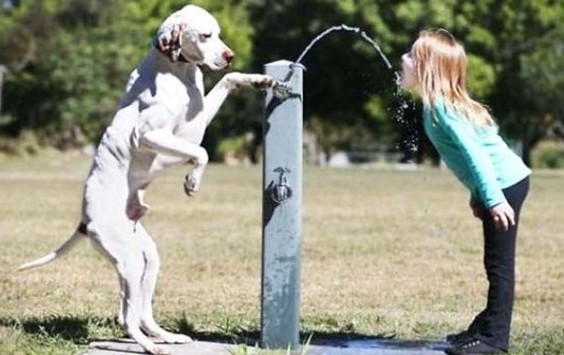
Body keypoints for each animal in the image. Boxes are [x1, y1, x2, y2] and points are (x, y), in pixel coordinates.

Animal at [18, 5, 274, 355]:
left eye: (219, 34)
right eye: (205, 35)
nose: (229, 55)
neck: (176, 71)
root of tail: (85, 220)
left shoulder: (197, 121)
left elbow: (228, 80)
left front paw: (258, 80)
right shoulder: (152, 135)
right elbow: (202, 152)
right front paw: (192, 181)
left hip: (147, 258)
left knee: (141, 312)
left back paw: (166, 336)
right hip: (129, 262)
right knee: (126, 317)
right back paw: (151, 346)